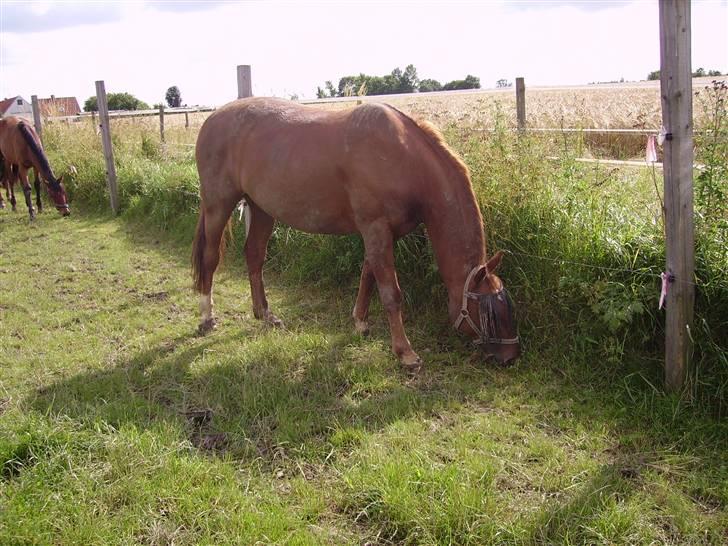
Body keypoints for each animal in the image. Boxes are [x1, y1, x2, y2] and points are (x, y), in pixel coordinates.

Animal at [191, 98, 520, 370]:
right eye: (489, 313)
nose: (510, 356)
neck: (403, 157)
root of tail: (212, 118)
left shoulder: (383, 233)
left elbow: (368, 275)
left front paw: (360, 323)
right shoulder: (376, 228)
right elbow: (390, 293)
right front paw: (405, 353)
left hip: (261, 208)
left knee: (254, 255)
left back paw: (264, 314)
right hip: (218, 204)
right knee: (210, 259)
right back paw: (207, 318)